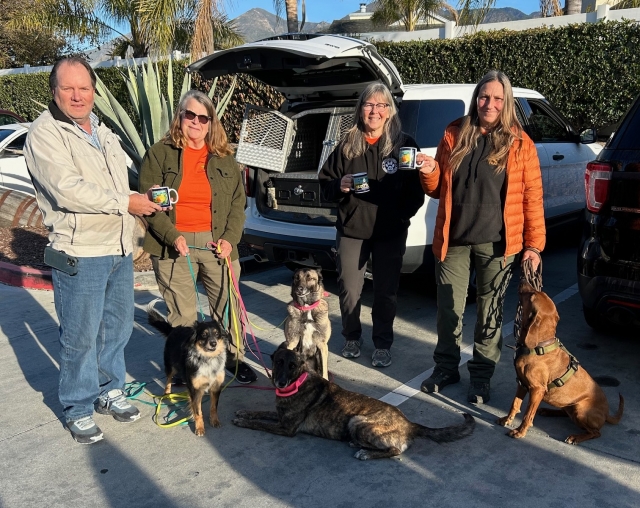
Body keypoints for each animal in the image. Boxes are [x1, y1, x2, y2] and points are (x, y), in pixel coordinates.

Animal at [148, 306, 230, 436]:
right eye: (204, 335)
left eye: (217, 334)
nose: (213, 343)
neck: (207, 358)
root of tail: (174, 329)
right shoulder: (195, 389)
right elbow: (198, 412)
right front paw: (199, 428)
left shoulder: (216, 386)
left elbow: (213, 407)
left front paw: (214, 421)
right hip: (171, 365)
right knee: (168, 378)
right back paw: (167, 393)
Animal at [235, 346, 476, 460]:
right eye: (278, 362)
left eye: (292, 366)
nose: (280, 382)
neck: (298, 382)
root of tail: (409, 424)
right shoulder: (280, 416)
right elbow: (260, 413)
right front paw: (244, 413)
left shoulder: (286, 428)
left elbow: (260, 424)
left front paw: (242, 422)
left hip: (358, 421)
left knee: (394, 450)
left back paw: (366, 453)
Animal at [498, 282, 624, 444]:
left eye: (532, 295)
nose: (523, 282)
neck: (539, 347)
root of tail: (606, 414)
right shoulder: (522, 383)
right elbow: (515, 404)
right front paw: (507, 419)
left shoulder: (537, 390)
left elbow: (527, 414)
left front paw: (520, 431)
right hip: (571, 406)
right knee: (566, 412)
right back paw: (548, 411)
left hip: (580, 408)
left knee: (595, 432)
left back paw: (576, 437)